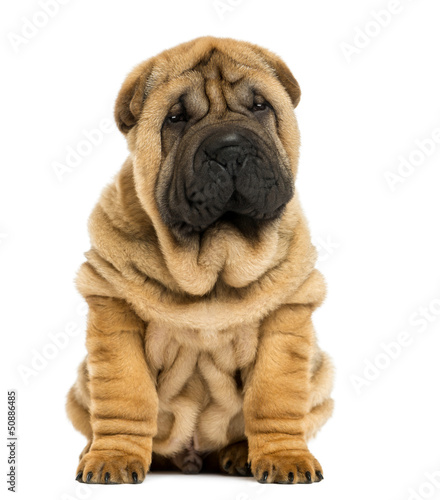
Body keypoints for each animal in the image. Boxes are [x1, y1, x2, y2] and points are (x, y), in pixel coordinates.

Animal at [66, 35, 334, 484]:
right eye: (176, 118)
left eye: (260, 106)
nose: (230, 148)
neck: (214, 258)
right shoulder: (113, 309)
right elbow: (125, 395)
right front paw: (114, 457)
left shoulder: (287, 315)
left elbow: (274, 396)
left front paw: (285, 457)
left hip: (320, 375)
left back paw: (240, 453)